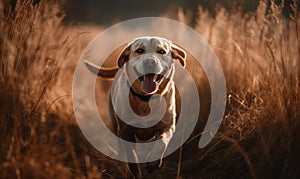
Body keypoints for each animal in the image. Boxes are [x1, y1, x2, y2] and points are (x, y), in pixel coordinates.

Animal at [85, 36, 186, 178]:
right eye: (139, 50)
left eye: (161, 51)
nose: (150, 62)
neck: (146, 100)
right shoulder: (126, 133)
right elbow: (133, 161)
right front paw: (135, 173)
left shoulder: (167, 126)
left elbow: (161, 143)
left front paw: (154, 161)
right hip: (114, 125)